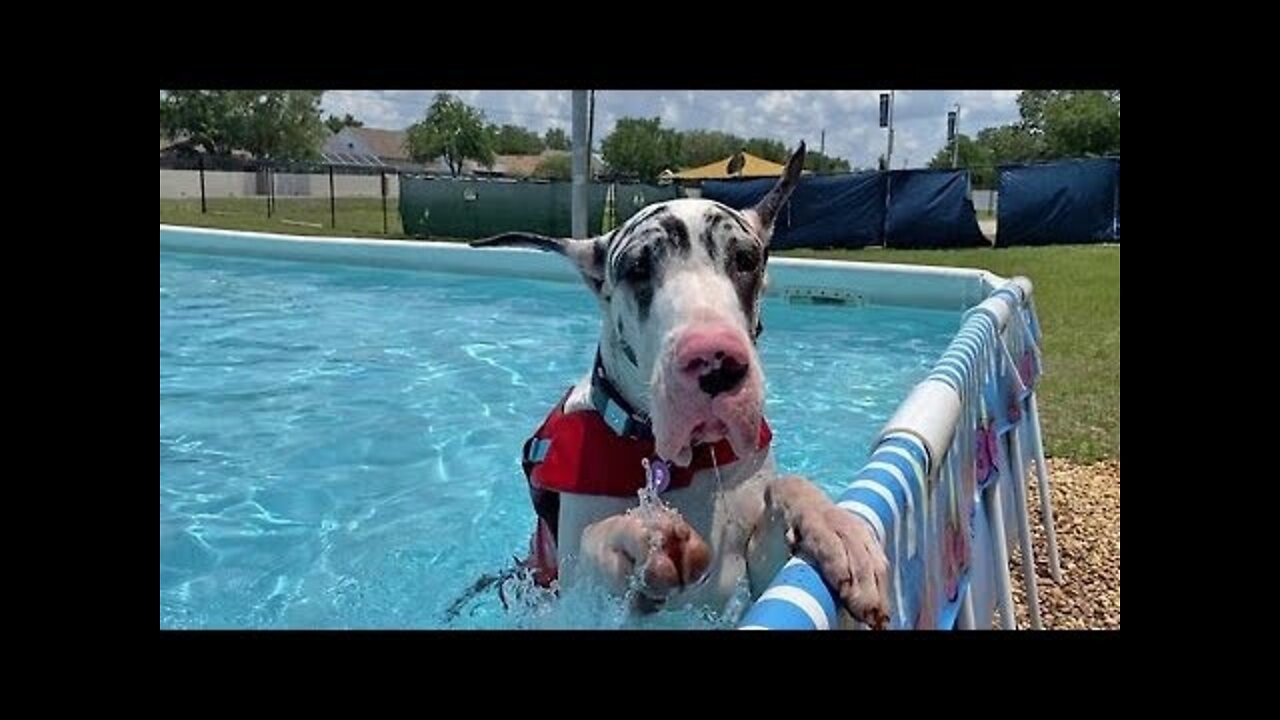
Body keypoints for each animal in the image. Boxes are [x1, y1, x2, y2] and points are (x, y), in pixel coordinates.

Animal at [471, 142, 890, 625]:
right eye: (637, 268)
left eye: (745, 260)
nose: (715, 362)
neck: (684, 464)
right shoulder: (576, 603)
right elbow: (598, 543)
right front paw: (635, 534)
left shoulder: (755, 577)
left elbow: (785, 487)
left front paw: (838, 529)